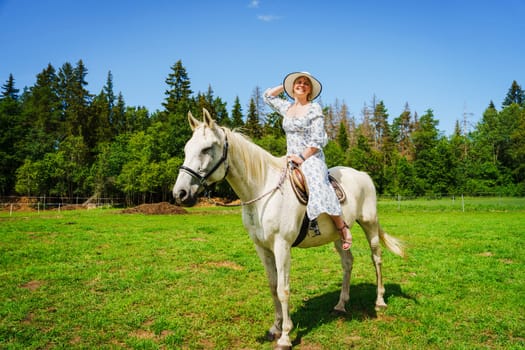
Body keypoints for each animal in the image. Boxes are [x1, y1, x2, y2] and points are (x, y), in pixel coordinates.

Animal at [174, 109, 404, 350]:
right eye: (186, 149)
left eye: (207, 148)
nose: (180, 193)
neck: (263, 190)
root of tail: (362, 174)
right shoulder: (262, 248)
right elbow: (273, 285)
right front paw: (274, 328)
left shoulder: (282, 246)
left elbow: (283, 290)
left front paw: (285, 336)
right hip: (339, 235)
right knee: (348, 263)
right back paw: (341, 305)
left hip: (369, 223)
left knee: (376, 258)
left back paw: (380, 301)